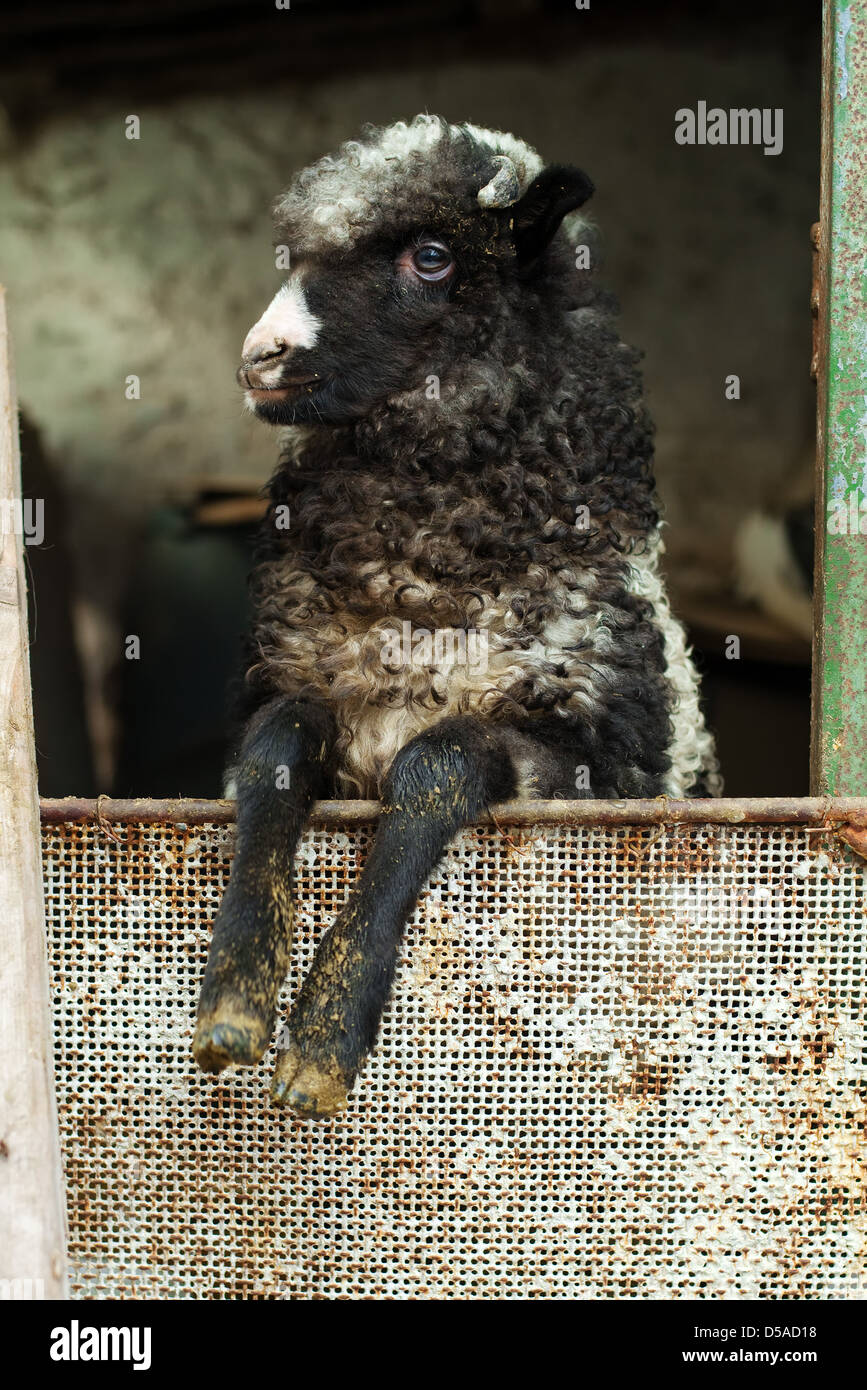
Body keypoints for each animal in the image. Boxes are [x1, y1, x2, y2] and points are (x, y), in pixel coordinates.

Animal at [193, 116, 722, 1117]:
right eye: (295, 253)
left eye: (431, 258)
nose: (261, 356)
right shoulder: (297, 680)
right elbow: (274, 750)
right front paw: (236, 997)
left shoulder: (589, 749)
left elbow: (436, 767)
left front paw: (325, 1035)